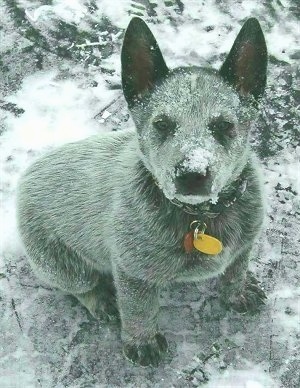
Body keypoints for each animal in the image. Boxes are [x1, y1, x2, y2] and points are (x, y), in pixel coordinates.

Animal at [17, 16, 268, 366]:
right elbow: (139, 309)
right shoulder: (133, 273)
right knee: (81, 285)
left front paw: (237, 293)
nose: (191, 174)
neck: (201, 217)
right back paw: (101, 300)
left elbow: (235, 270)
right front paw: (142, 342)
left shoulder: (244, 245)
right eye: (162, 125)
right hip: (60, 264)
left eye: (223, 126)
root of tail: (27, 176)